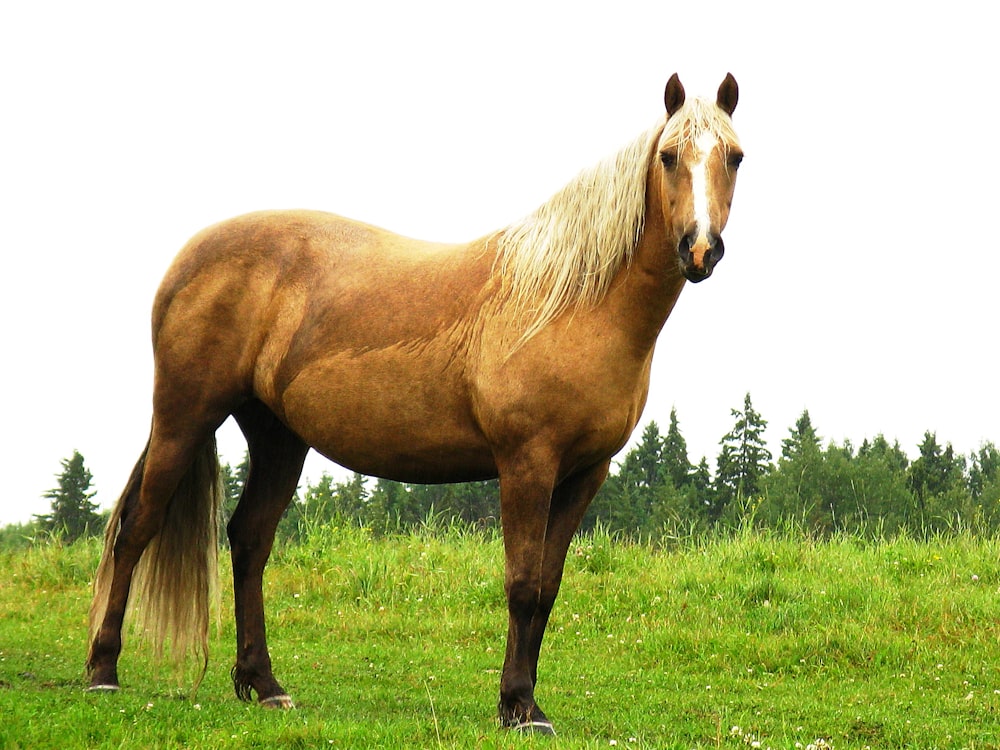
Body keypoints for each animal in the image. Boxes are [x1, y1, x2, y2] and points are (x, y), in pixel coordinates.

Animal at [86, 73, 744, 736]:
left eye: (735, 157)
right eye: (668, 156)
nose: (700, 249)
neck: (570, 301)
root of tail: (188, 259)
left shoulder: (587, 472)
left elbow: (549, 586)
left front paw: (525, 702)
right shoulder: (527, 464)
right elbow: (523, 583)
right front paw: (518, 705)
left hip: (277, 439)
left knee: (248, 541)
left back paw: (264, 685)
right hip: (185, 416)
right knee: (137, 529)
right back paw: (103, 671)